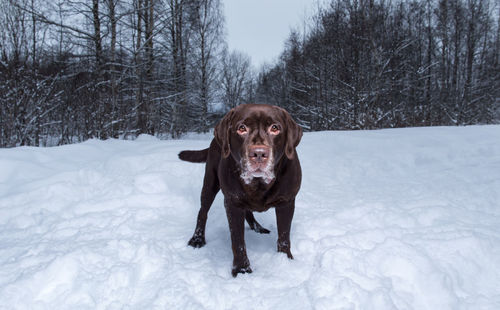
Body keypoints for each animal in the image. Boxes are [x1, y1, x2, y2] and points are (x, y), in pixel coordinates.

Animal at [181, 103, 302, 276]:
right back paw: (197, 239)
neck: (258, 184)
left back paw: (257, 227)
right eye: (242, 128)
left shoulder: (286, 202)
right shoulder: (233, 203)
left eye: (275, 128)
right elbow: (237, 240)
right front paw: (242, 269)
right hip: (210, 183)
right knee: (203, 211)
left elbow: (284, 235)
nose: (259, 153)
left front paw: (285, 260)